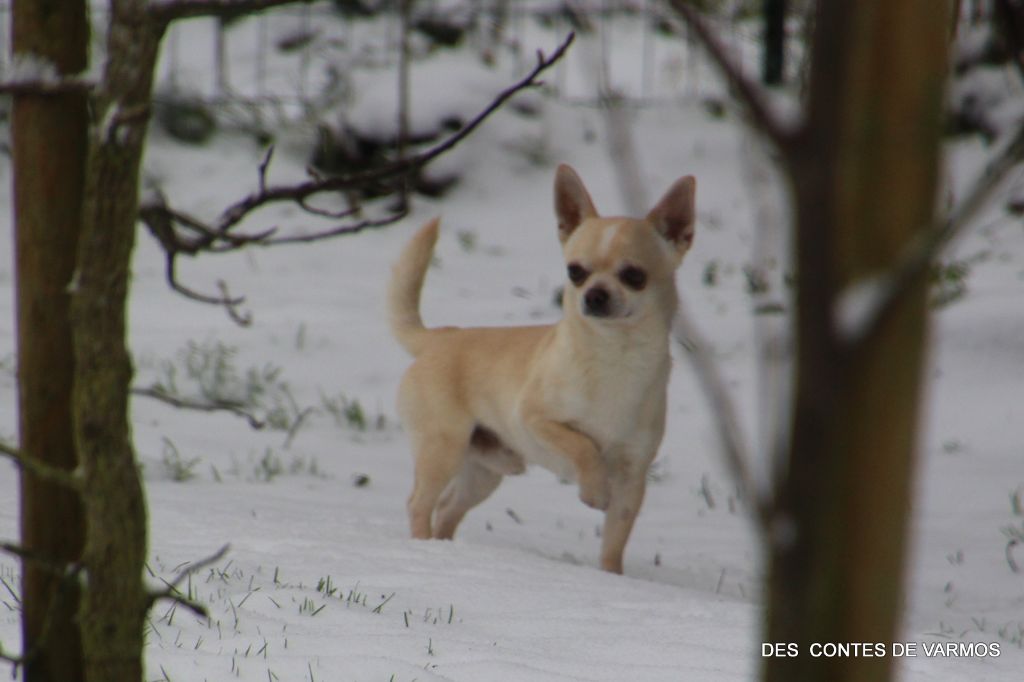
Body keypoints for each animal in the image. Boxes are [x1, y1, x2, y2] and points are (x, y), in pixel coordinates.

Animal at [385, 164, 696, 573]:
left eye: (634, 276)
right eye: (575, 272)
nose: (593, 295)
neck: (615, 356)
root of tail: (438, 337)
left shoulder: (632, 475)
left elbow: (615, 539)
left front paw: (611, 577)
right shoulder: (535, 419)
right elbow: (583, 446)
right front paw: (593, 490)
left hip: (483, 472)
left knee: (448, 507)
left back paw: (445, 548)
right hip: (442, 449)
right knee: (419, 503)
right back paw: (422, 548)